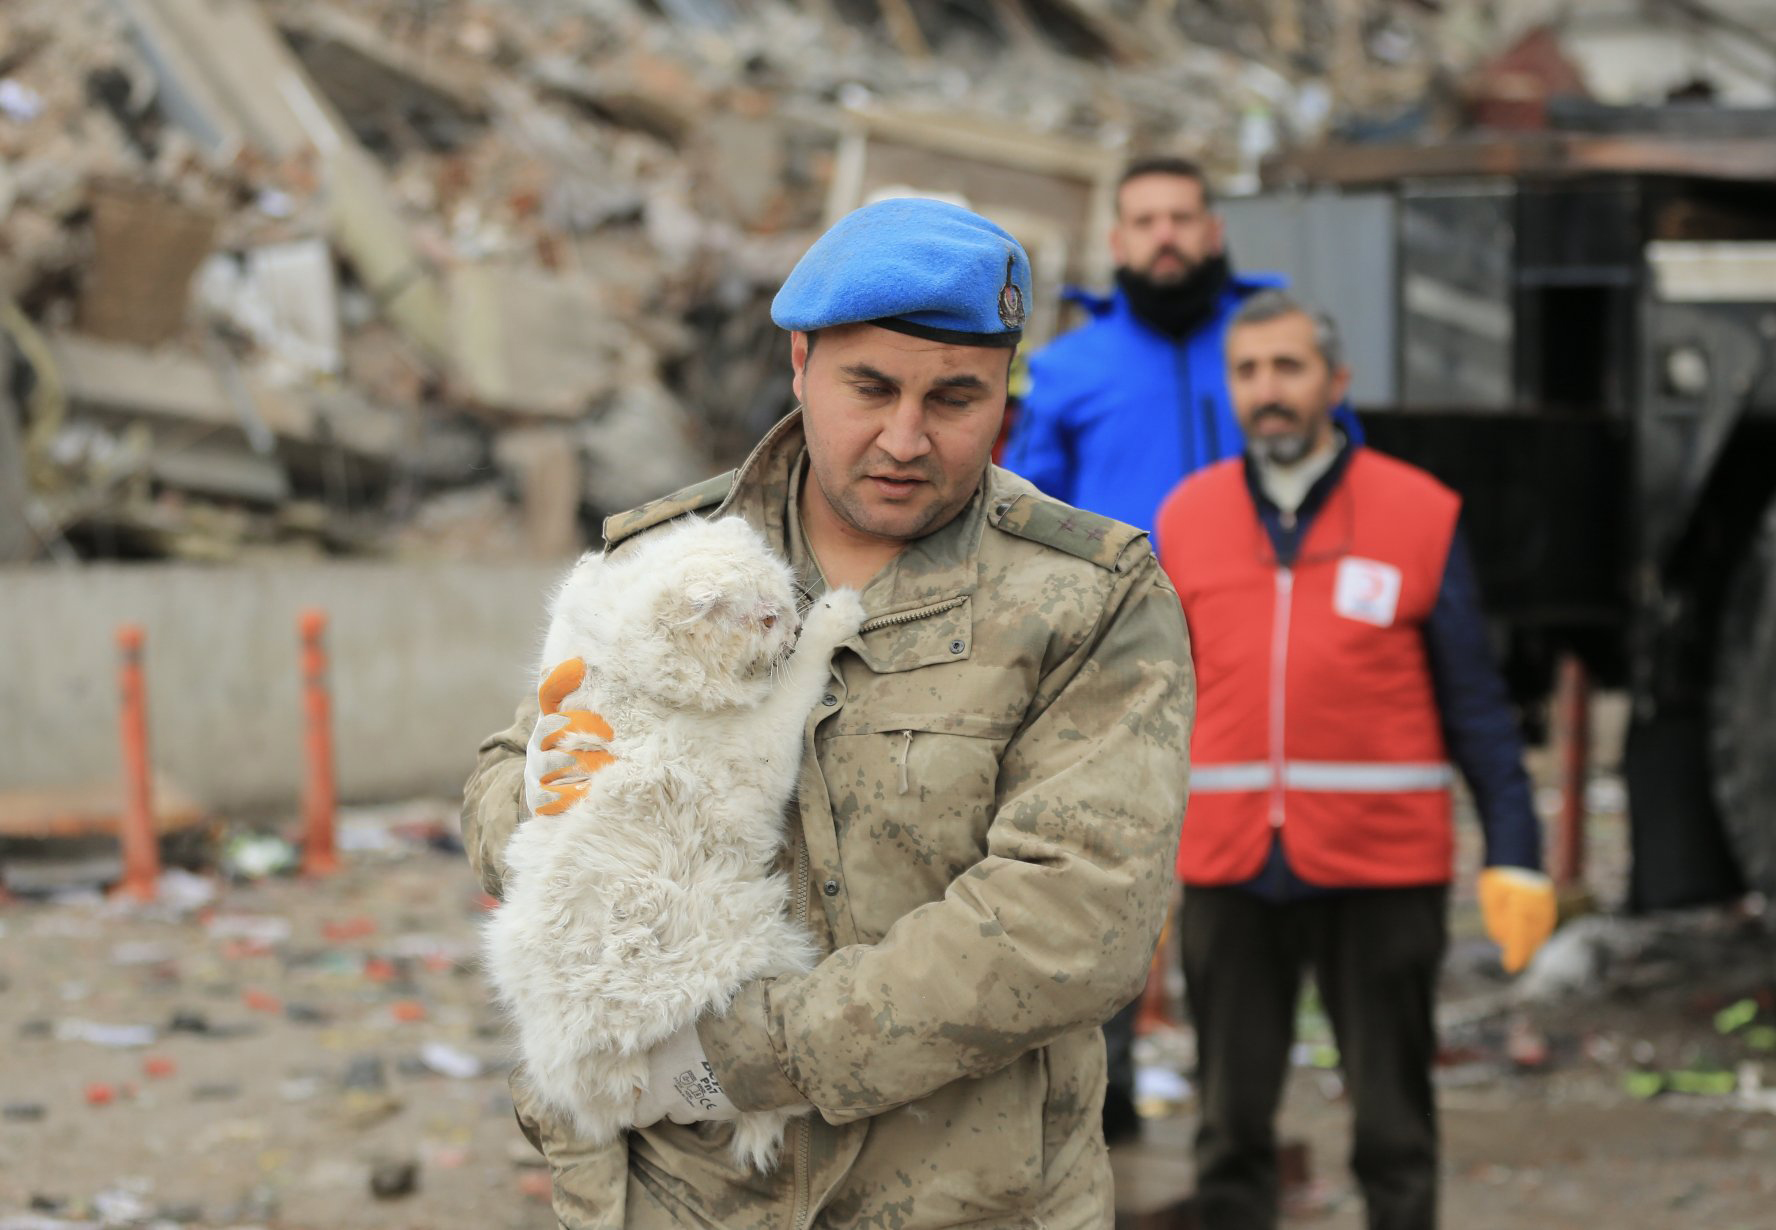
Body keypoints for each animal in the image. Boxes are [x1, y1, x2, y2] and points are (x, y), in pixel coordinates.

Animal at [483, 514, 863, 1171]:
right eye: (768, 619)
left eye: (784, 602)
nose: (792, 623)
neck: (635, 677)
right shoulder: (758, 751)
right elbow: (799, 682)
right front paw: (834, 617)